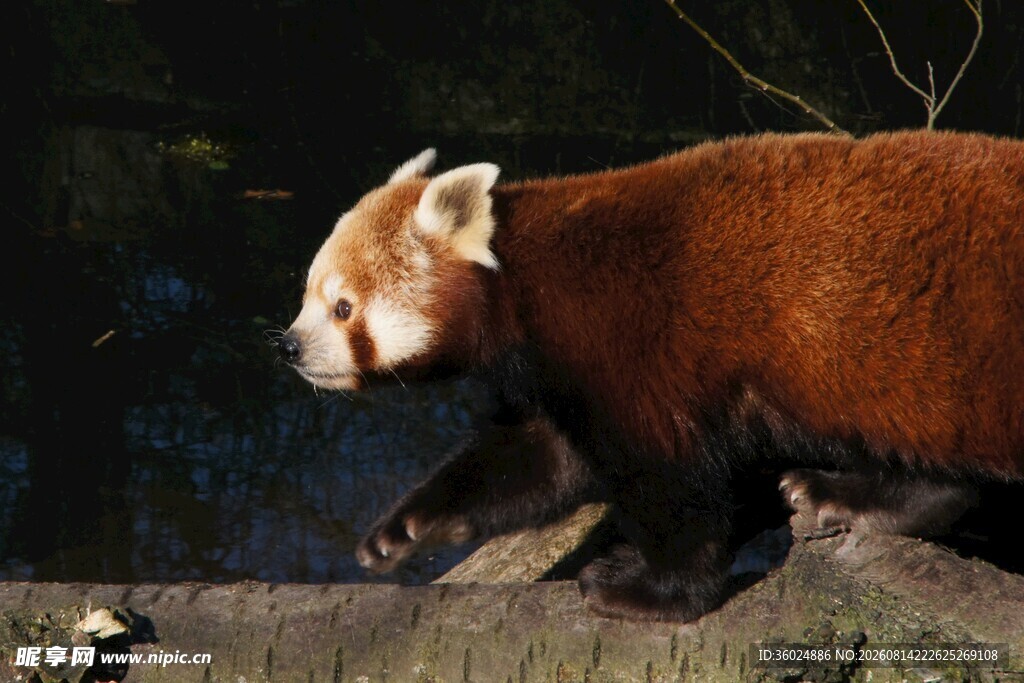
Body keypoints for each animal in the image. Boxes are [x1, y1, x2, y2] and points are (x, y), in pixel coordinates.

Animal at [280, 131, 1024, 622]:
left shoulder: (637, 346)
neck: (526, 285)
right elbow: (537, 461)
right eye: (308, 294)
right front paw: (406, 528)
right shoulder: (559, 378)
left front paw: (646, 591)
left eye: (343, 307)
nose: (289, 346)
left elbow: (673, 483)